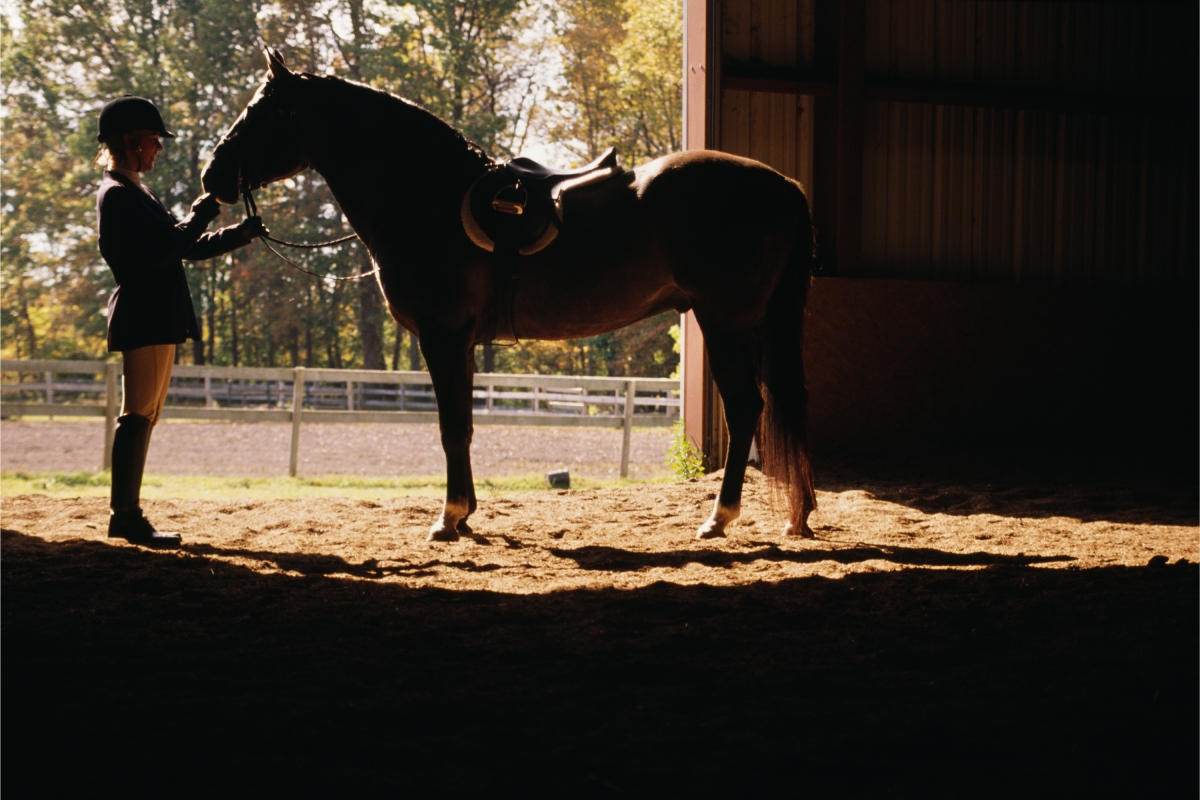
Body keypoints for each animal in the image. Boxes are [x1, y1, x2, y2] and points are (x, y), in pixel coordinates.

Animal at [202, 49, 817, 542]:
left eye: (263, 112)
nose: (212, 177)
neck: (425, 195)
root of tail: (782, 184)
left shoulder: (443, 337)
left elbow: (451, 425)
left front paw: (448, 518)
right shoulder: (462, 344)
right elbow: (466, 425)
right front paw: (466, 512)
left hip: (725, 322)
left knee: (746, 410)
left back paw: (720, 517)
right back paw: (798, 514)